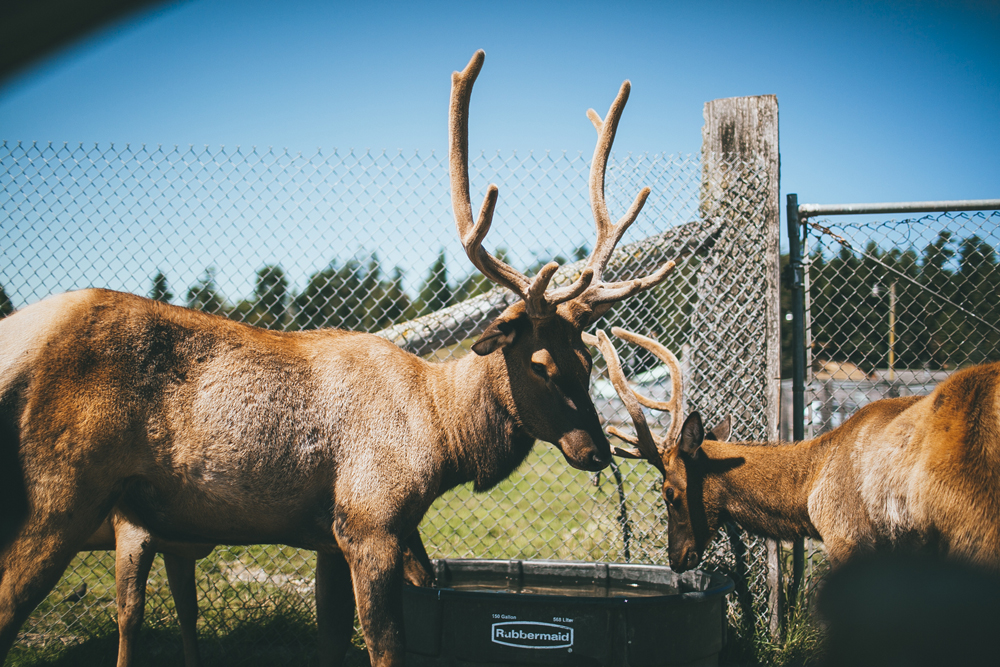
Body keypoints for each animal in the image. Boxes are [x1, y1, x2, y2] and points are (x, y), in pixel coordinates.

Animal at [0, 52, 676, 667]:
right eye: (538, 363)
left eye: (586, 360)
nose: (596, 450)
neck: (441, 436)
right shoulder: (369, 521)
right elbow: (385, 646)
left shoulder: (331, 537)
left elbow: (331, 640)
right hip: (60, 495)